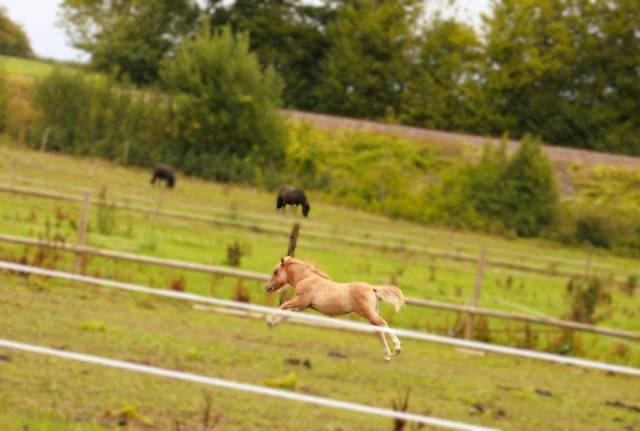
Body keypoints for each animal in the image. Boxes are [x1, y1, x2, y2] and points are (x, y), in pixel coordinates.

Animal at [265, 256, 405, 362]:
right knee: (379, 330)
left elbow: (283, 306)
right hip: (372, 314)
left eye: (276, 272)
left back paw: (397, 348)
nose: (268, 287)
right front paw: (273, 323)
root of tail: (372, 288)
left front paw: (269, 320)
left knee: (383, 324)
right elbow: (287, 314)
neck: (307, 279)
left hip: (369, 313)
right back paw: (387, 356)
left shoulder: (301, 301)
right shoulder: (303, 306)